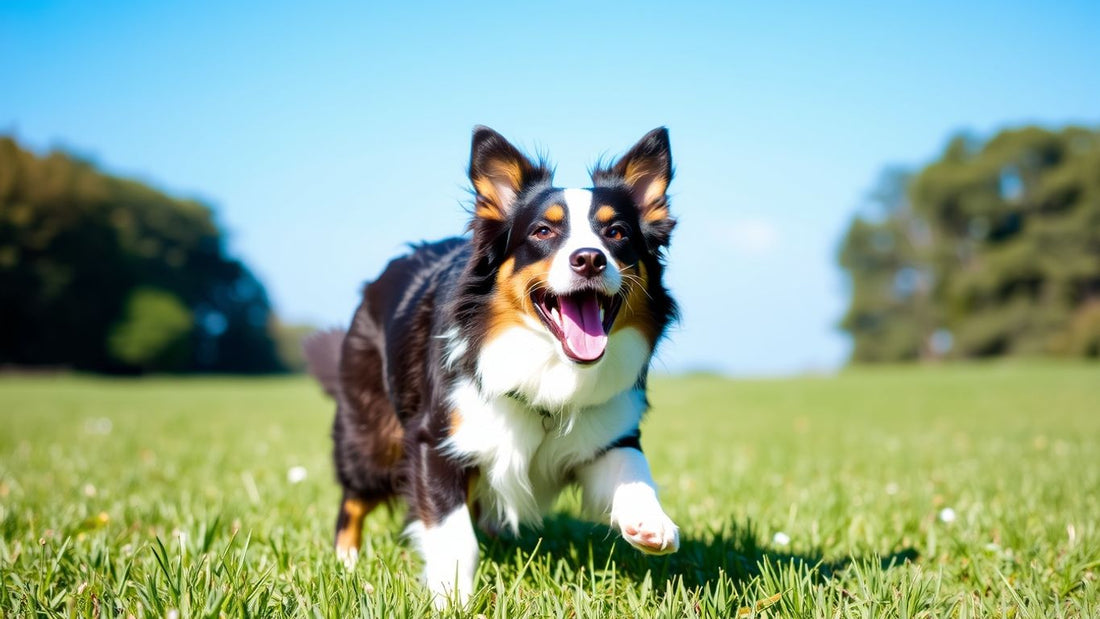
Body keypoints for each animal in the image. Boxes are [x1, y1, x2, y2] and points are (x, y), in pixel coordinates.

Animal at [303, 124, 677, 606]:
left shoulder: (607, 430)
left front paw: (651, 522)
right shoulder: (434, 440)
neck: (549, 365)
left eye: (616, 232)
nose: (590, 259)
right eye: (542, 230)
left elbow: (632, 467)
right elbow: (454, 534)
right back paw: (346, 563)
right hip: (371, 439)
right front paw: (452, 599)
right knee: (352, 499)